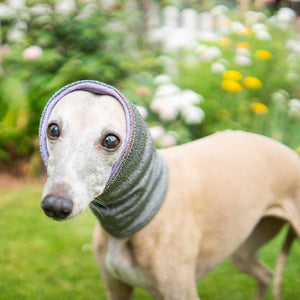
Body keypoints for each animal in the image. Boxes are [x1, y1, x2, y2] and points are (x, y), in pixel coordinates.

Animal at [39, 80, 300, 300]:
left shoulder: (180, 292)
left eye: (111, 140)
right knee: (265, 274)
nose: (56, 206)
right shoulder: (117, 289)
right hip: (244, 248)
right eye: (53, 129)